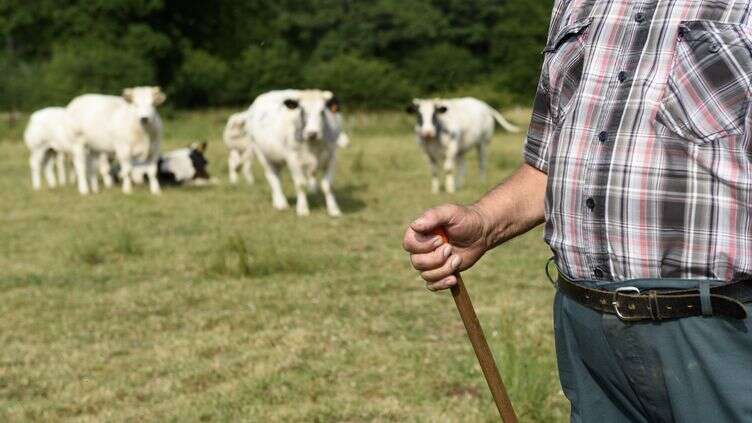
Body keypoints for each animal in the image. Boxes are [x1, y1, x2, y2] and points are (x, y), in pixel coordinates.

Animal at [248, 88, 346, 217]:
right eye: (302, 111)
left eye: (322, 112)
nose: (312, 133)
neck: (313, 145)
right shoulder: (293, 159)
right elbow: (300, 184)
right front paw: (302, 209)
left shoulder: (331, 157)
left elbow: (327, 185)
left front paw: (334, 209)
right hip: (262, 154)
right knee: (273, 177)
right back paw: (280, 203)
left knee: (278, 176)